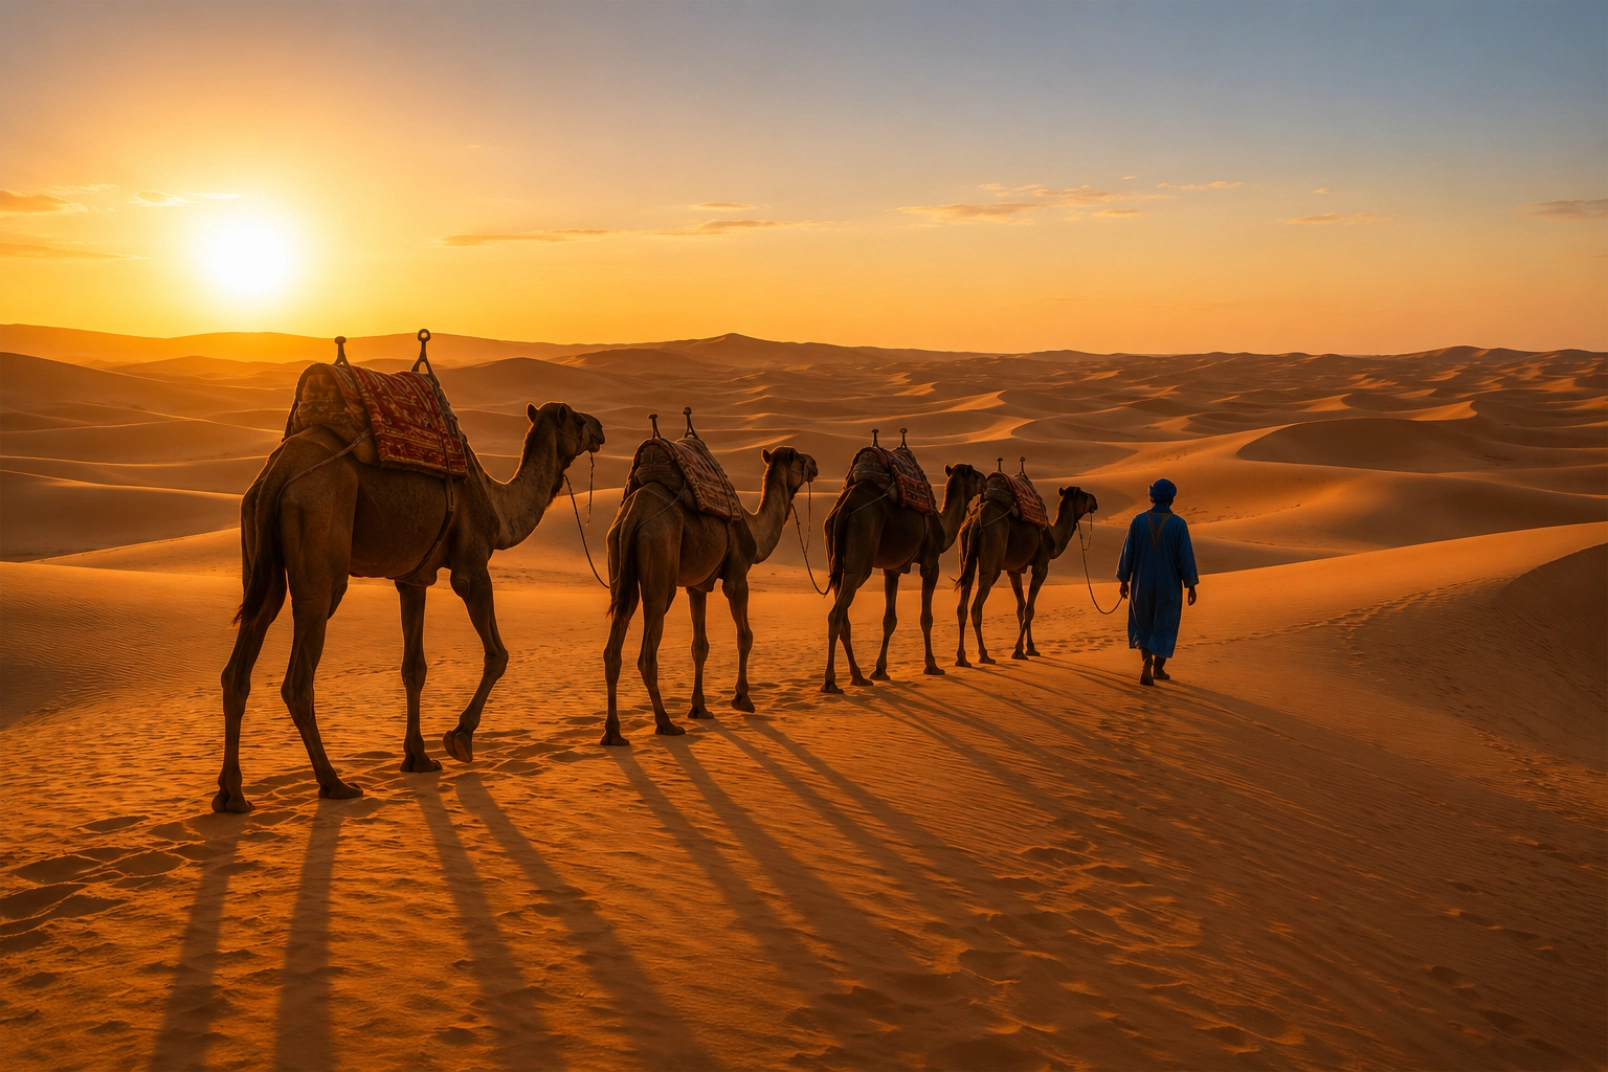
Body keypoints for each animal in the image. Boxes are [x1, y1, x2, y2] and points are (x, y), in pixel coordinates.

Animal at [215, 399, 604, 812]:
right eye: (577, 419)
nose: (600, 429)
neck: (498, 505)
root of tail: (278, 470)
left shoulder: (413, 579)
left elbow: (414, 668)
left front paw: (418, 757)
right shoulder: (472, 567)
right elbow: (498, 654)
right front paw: (460, 738)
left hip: (258, 548)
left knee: (241, 663)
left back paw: (232, 795)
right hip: (318, 544)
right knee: (299, 678)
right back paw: (334, 783)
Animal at [601, 443, 819, 746]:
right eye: (798, 457)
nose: (815, 464)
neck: (754, 529)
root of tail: (633, 513)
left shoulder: (698, 586)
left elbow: (699, 646)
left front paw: (699, 708)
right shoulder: (737, 578)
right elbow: (745, 637)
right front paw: (742, 699)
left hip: (618, 561)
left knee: (614, 645)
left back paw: (613, 733)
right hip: (660, 562)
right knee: (647, 651)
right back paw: (666, 723)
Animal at [820, 460, 988, 691]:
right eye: (975, 475)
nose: (987, 481)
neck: (942, 526)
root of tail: (844, 506)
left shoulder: (892, 570)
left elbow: (889, 620)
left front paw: (880, 671)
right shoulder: (931, 565)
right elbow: (926, 618)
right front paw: (932, 666)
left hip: (834, 556)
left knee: (843, 616)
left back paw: (858, 676)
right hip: (861, 551)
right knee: (836, 614)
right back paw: (830, 682)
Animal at [954, 479, 1099, 666]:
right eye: (1084, 495)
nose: (1095, 500)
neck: (1053, 537)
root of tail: (975, 521)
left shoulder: (1014, 570)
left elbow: (1020, 608)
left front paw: (1027, 648)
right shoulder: (1041, 566)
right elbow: (1029, 609)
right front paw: (1018, 650)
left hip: (964, 549)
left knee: (963, 602)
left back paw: (961, 658)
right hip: (993, 551)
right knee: (976, 605)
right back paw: (984, 655)